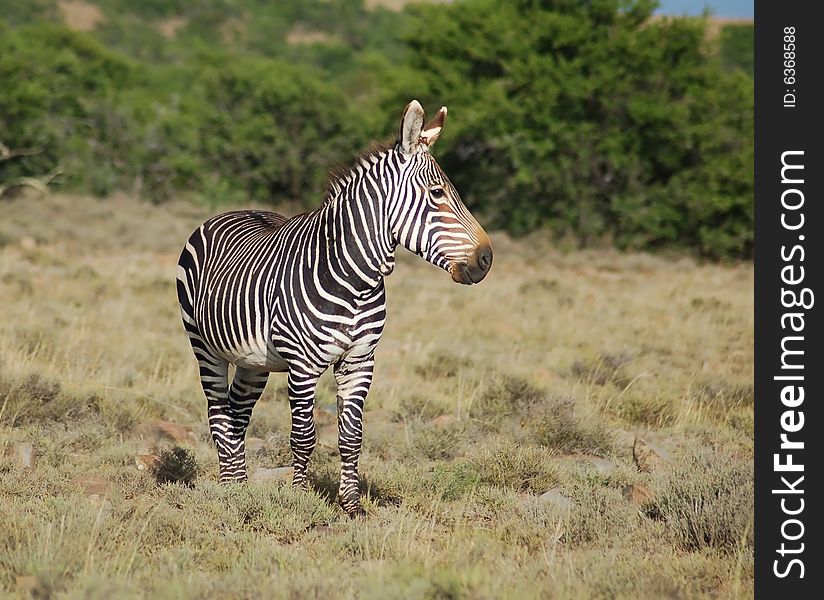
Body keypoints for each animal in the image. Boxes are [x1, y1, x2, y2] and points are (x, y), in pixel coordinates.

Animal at [177, 99, 492, 516]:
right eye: (438, 193)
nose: (486, 259)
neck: (356, 280)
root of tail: (231, 211)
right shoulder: (301, 365)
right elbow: (304, 436)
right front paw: (298, 497)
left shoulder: (360, 361)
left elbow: (351, 436)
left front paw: (351, 505)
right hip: (204, 347)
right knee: (218, 416)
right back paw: (230, 492)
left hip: (252, 360)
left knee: (237, 415)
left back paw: (240, 488)